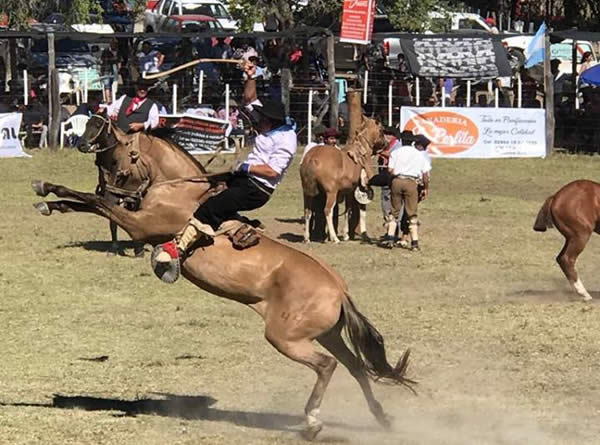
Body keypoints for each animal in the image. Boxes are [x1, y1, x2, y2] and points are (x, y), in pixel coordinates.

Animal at [31, 113, 418, 438]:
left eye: (118, 157)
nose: (107, 187)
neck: (179, 189)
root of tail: (338, 290)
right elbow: (84, 203)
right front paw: (48, 198)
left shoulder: (139, 225)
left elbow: (93, 204)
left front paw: (51, 191)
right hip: (327, 334)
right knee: (356, 367)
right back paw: (381, 418)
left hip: (286, 337)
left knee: (327, 366)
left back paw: (312, 421)